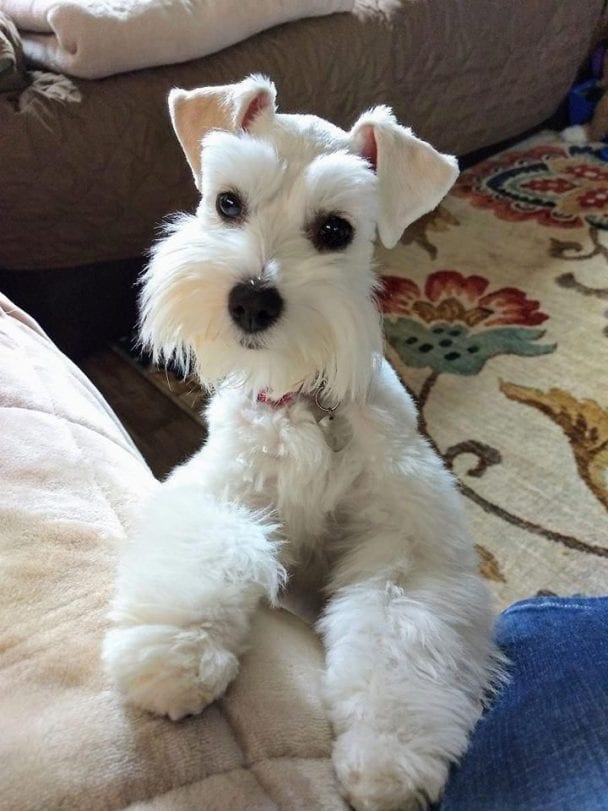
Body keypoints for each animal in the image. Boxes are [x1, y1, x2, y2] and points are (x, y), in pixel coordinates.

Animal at [104, 76, 502, 811]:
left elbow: (395, 629)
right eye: (227, 202)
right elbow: (214, 546)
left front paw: (388, 753)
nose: (252, 301)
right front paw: (177, 656)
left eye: (335, 229)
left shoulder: (406, 548)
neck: (302, 402)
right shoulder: (220, 491)